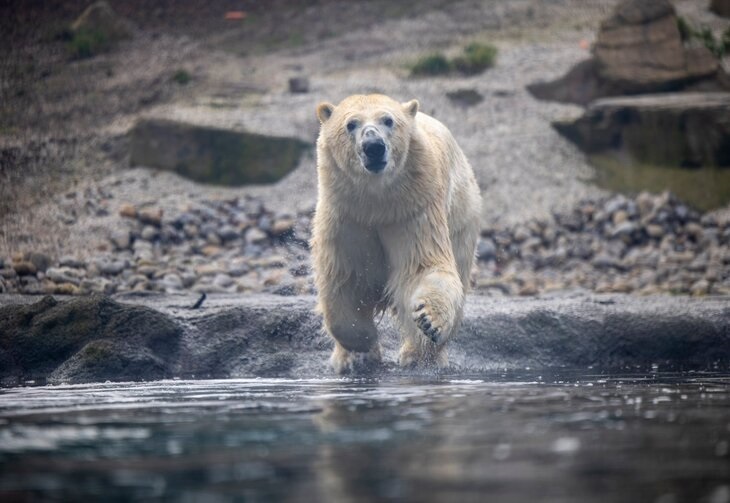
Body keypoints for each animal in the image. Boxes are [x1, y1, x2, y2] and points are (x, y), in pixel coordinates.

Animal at [310, 94, 480, 372]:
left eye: (388, 120)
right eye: (350, 124)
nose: (373, 146)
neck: (379, 205)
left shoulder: (413, 209)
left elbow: (424, 267)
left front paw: (428, 320)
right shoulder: (347, 216)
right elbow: (344, 278)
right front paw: (363, 344)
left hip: (462, 217)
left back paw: (418, 355)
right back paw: (345, 360)